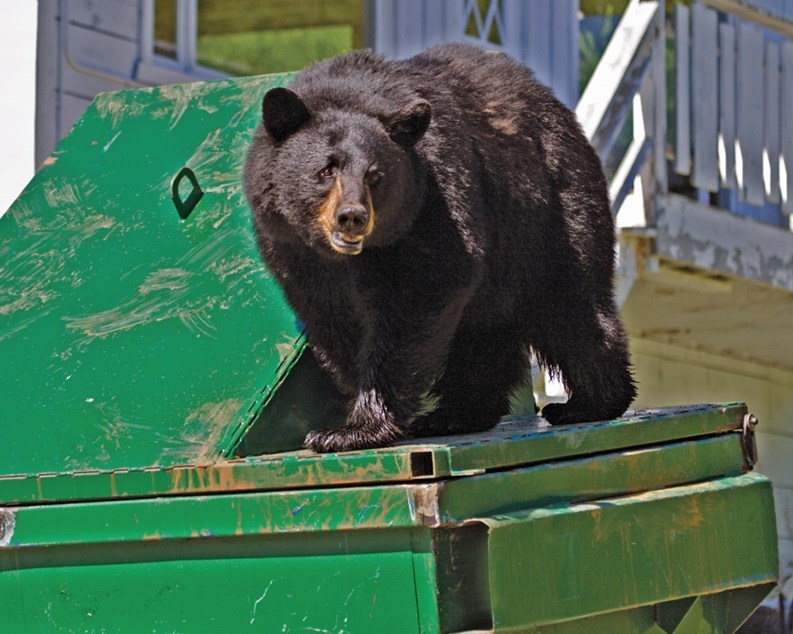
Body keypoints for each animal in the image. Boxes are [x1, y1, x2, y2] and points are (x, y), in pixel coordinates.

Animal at [244, 43, 636, 453]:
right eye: (326, 169)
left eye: (375, 176)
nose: (351, 217)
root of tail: (558, 109)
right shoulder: (293, 251)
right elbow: (333, 319)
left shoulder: (434, 203)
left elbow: (418, 296)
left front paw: (352, 429)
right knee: (482, 334)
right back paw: (458, 414)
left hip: (550, 215)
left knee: (570, 305)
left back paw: (588, 403)